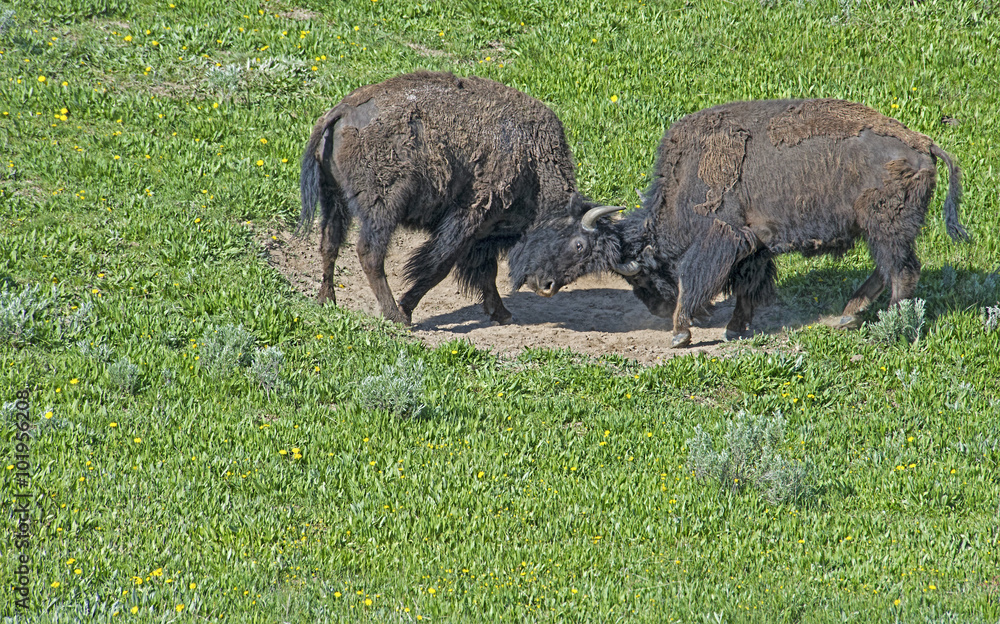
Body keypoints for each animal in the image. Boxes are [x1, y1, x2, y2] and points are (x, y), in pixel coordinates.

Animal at [299, 70, 583, 325]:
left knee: (330, 243)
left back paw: (327, 300)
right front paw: (406, 308)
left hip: (334, 199)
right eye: (577, 244)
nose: (548, 286)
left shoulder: (483, 237)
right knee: (370, 254)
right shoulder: (466, 222)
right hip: (383, 207)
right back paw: (394, 316)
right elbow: (438, 266)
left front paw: (501, 313)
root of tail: (342, 111)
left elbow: (486, 273)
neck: (534, 158)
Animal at [509, 98, 968, 347]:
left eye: (577, 245)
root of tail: (923, 143)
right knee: (887, 269)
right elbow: (748, 285)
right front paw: (735, 329)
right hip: (881, 230)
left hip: (886, 226)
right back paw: (849, 316)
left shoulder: (722, 239)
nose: (541, 284)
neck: (686, 180)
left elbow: (694, 283)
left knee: (902, 272)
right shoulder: (754, 245)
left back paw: (894, 326)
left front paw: (680, 334)